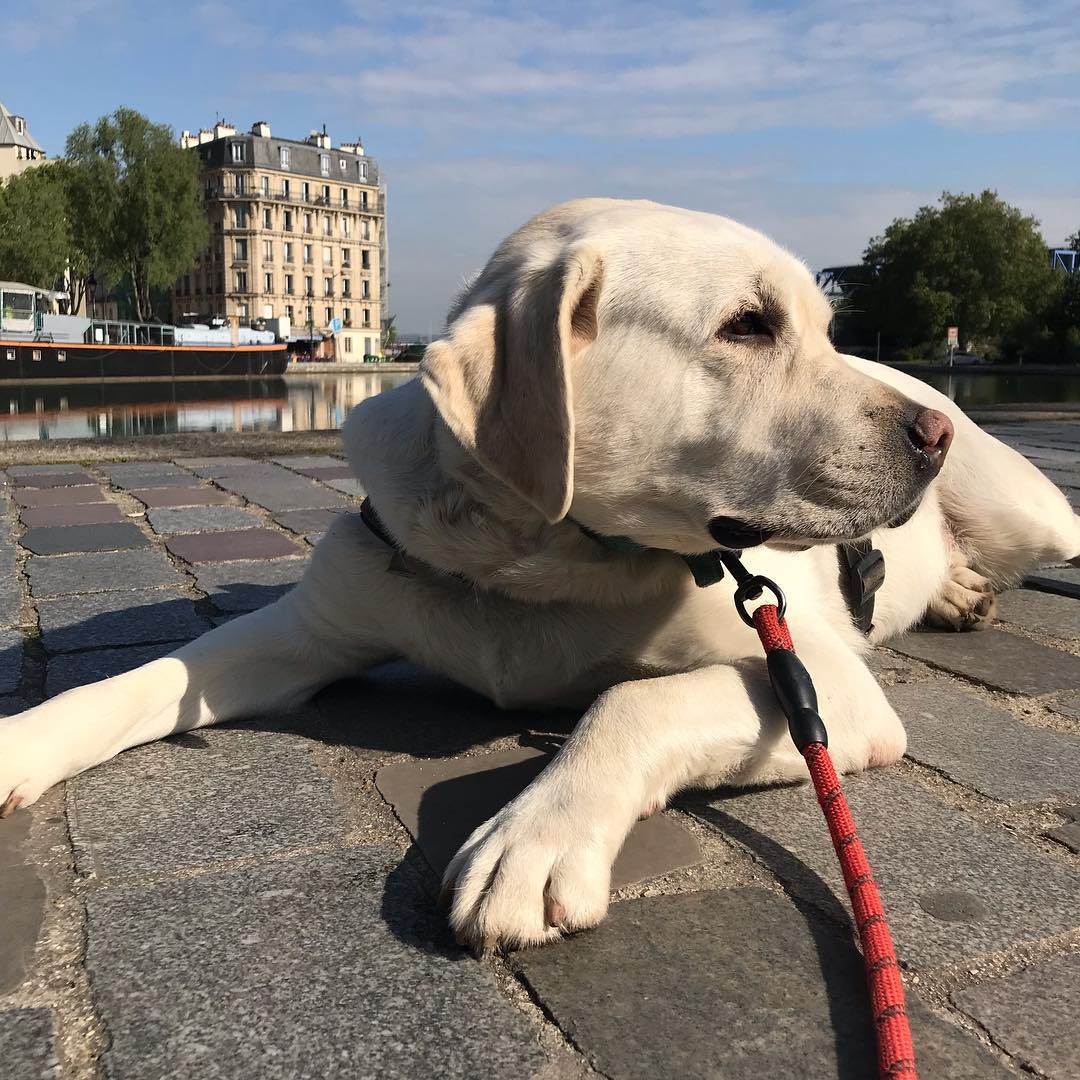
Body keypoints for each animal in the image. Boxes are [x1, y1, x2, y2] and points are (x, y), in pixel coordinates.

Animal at [2, 198, 1080, 950]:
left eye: (814, 326)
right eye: (749, 325)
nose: (929, 435)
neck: (545, 559)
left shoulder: (826, 684)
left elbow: (632, 702)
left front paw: (536, 838)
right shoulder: (305, 631)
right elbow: (142, 679)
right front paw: (22, 744)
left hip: (1036, 513)